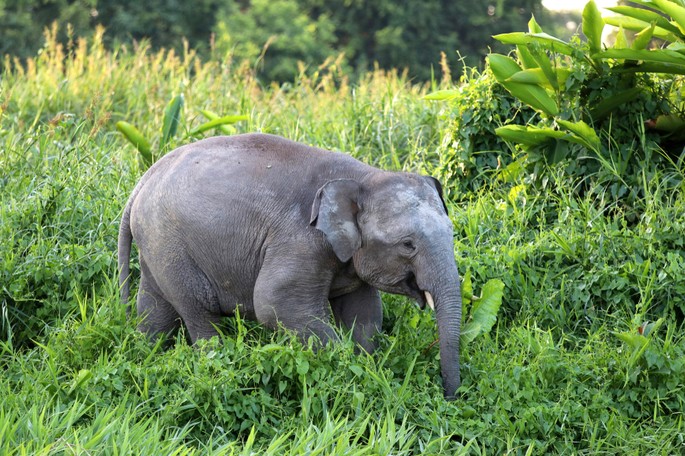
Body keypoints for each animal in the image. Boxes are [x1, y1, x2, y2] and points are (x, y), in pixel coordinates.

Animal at [118, 133, 462, 398]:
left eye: (452, 232)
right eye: (408, 244)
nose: (449, 397)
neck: (365, 177)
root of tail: (142, 181)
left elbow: (364, 313)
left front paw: (367, 366)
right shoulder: (300, 239)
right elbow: (274, 302)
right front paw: (347, 369)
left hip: (156, 246)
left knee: (155, 308)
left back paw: (147, 355)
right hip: (171, 245)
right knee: (199, 311)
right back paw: (215, 363)